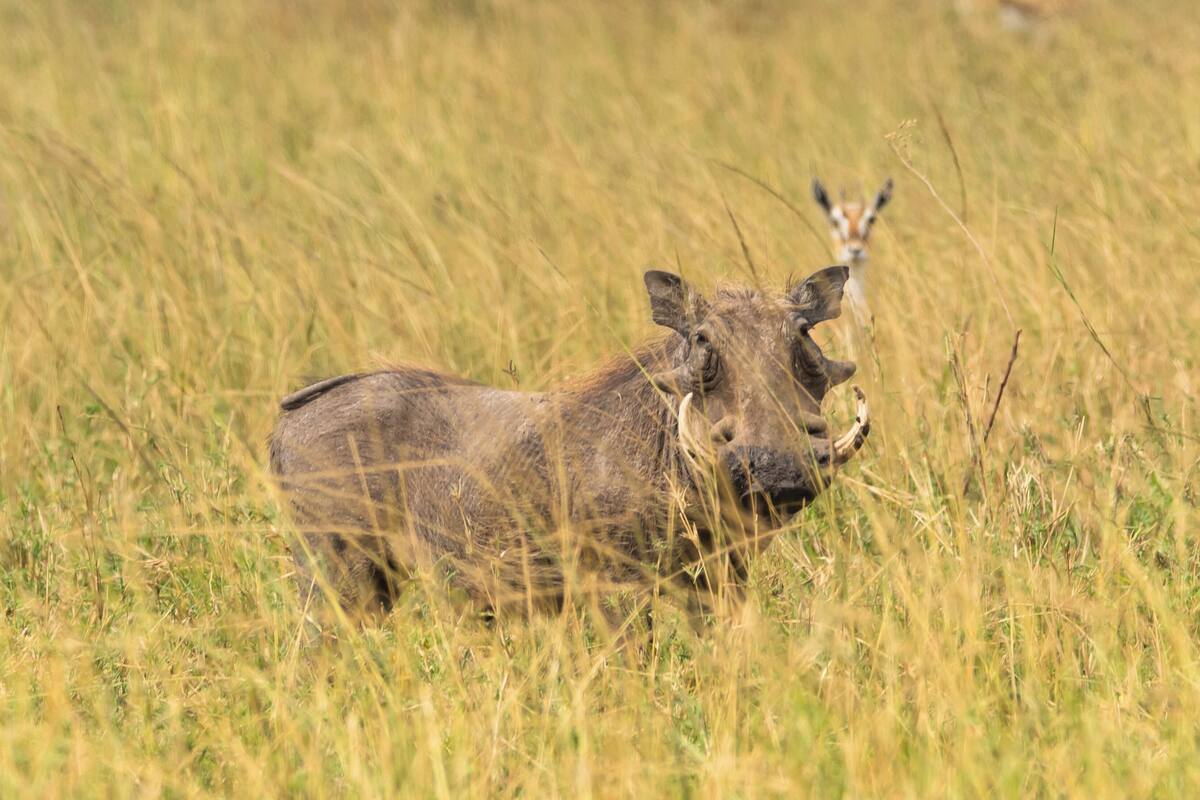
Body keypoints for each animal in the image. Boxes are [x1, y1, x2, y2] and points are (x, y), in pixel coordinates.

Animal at [269, 266, 870, 627]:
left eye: (803, 336)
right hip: (338, 569)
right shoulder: (614, 585)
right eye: (703, 341)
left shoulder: (721, 575)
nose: (780, 471)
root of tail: (288, 416)